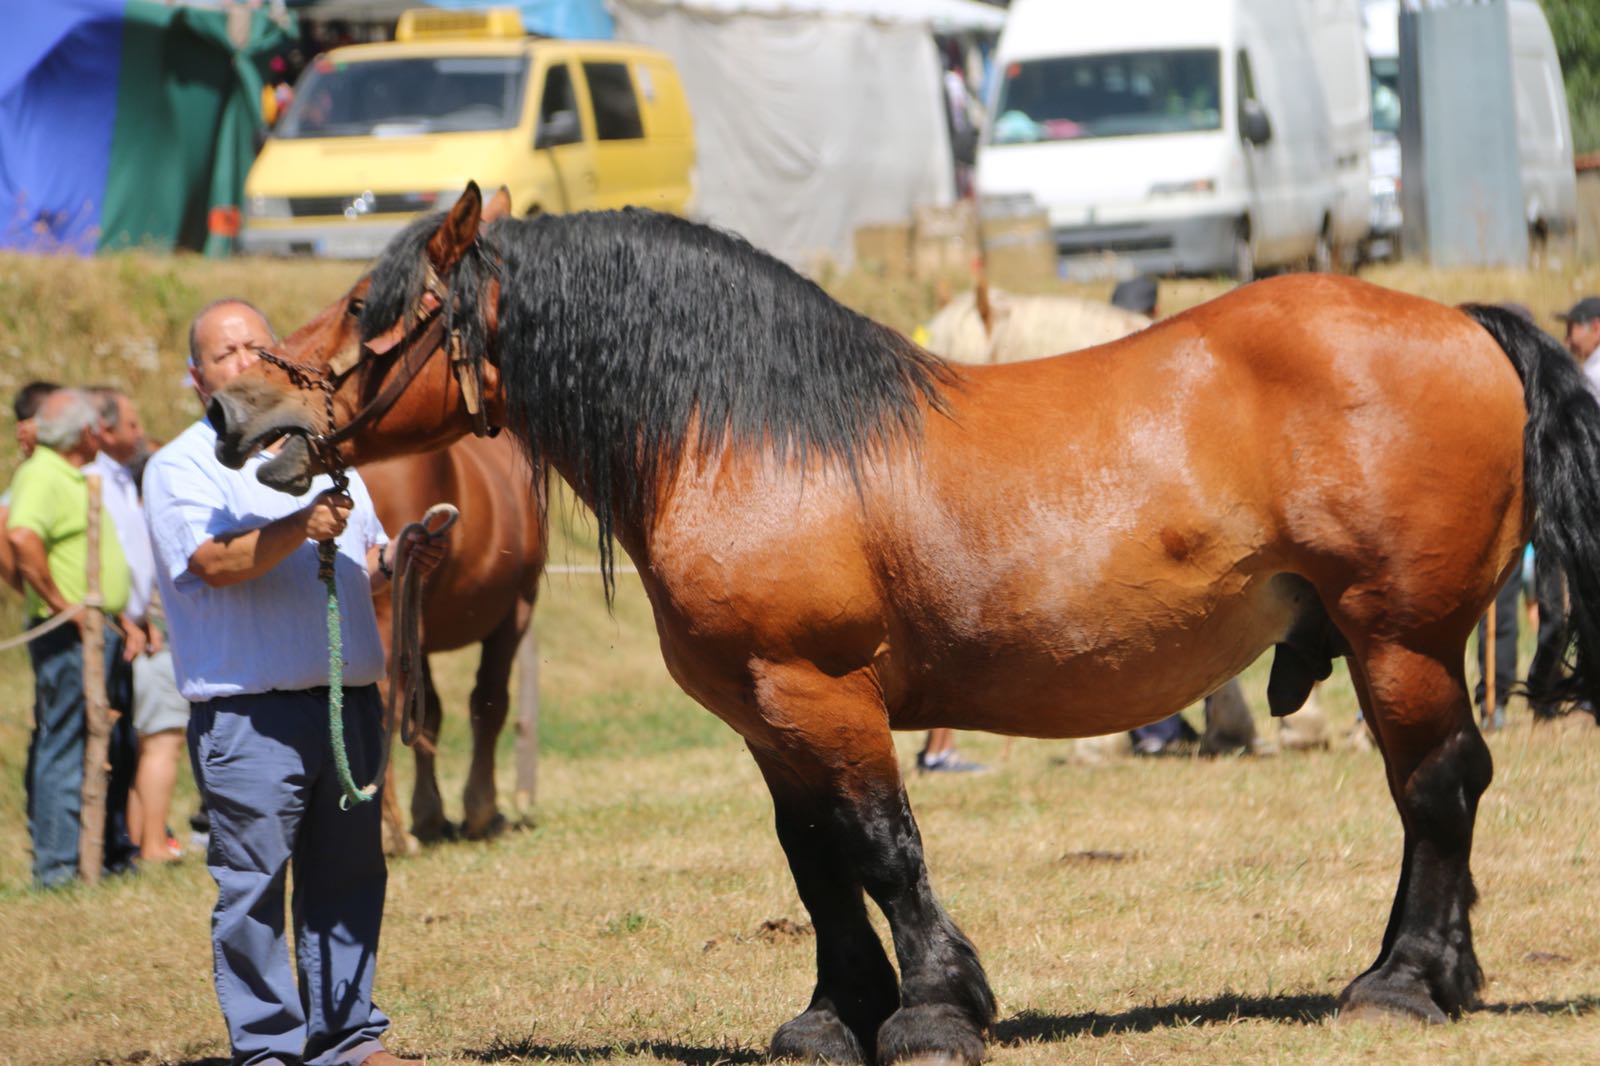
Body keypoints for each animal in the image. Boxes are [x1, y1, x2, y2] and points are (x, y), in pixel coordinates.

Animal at [358, 425, 544, 845]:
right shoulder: (517, 609)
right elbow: (489, 703)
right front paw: (481, 810)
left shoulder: (418, 633)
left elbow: (427, 714)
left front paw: (431, 815)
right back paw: (392, 833)